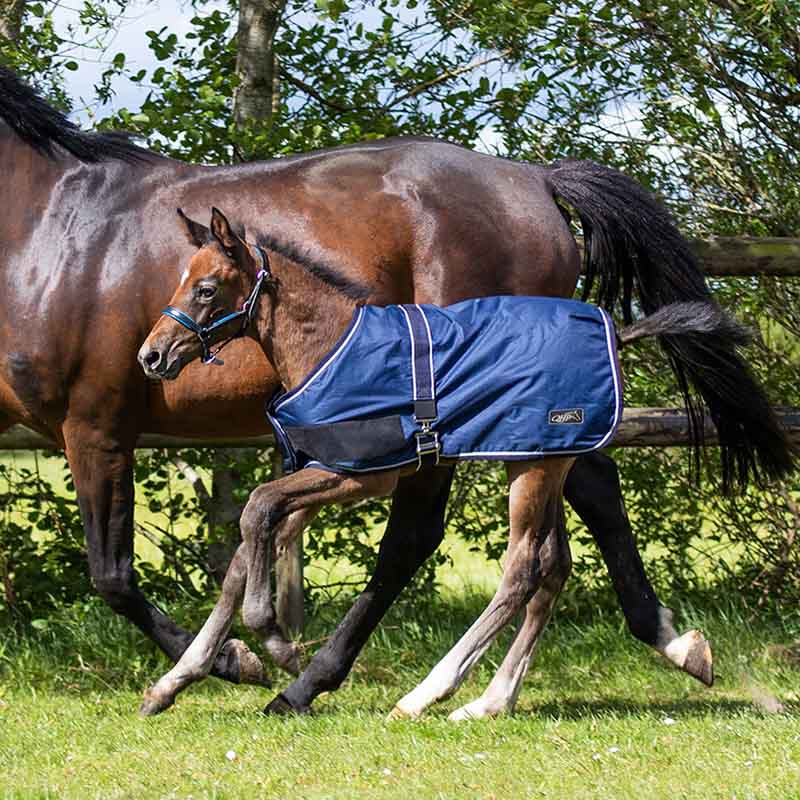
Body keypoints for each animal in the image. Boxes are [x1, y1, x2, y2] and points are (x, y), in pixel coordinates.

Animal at [136, 206, 766, 719]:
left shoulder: (363, 475)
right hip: (541, 459)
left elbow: (258, 510)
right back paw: (491, 701)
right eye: (182, 280)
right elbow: (248, 545)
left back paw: (426, 694)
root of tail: (615, 333)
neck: (329, 346)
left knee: (522, 569)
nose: (152, 356)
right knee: (553, 565)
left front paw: (275, 638)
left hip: (533, 470)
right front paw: (177, 681)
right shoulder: (314, 472)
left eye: (207, 289)